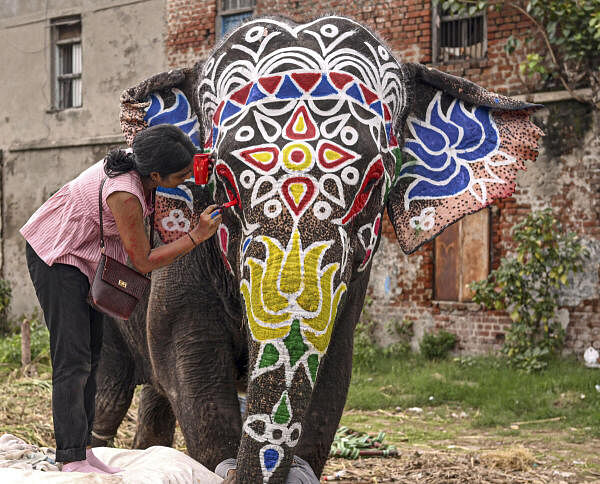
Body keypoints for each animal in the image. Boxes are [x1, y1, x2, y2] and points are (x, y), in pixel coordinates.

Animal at [90, 13, 544, 482]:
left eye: (374, 185)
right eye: (223, 181)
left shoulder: (355, 281)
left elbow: (335, 372)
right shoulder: (177, 258)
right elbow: (189, 362)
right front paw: (224, 464)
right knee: (109, 396)